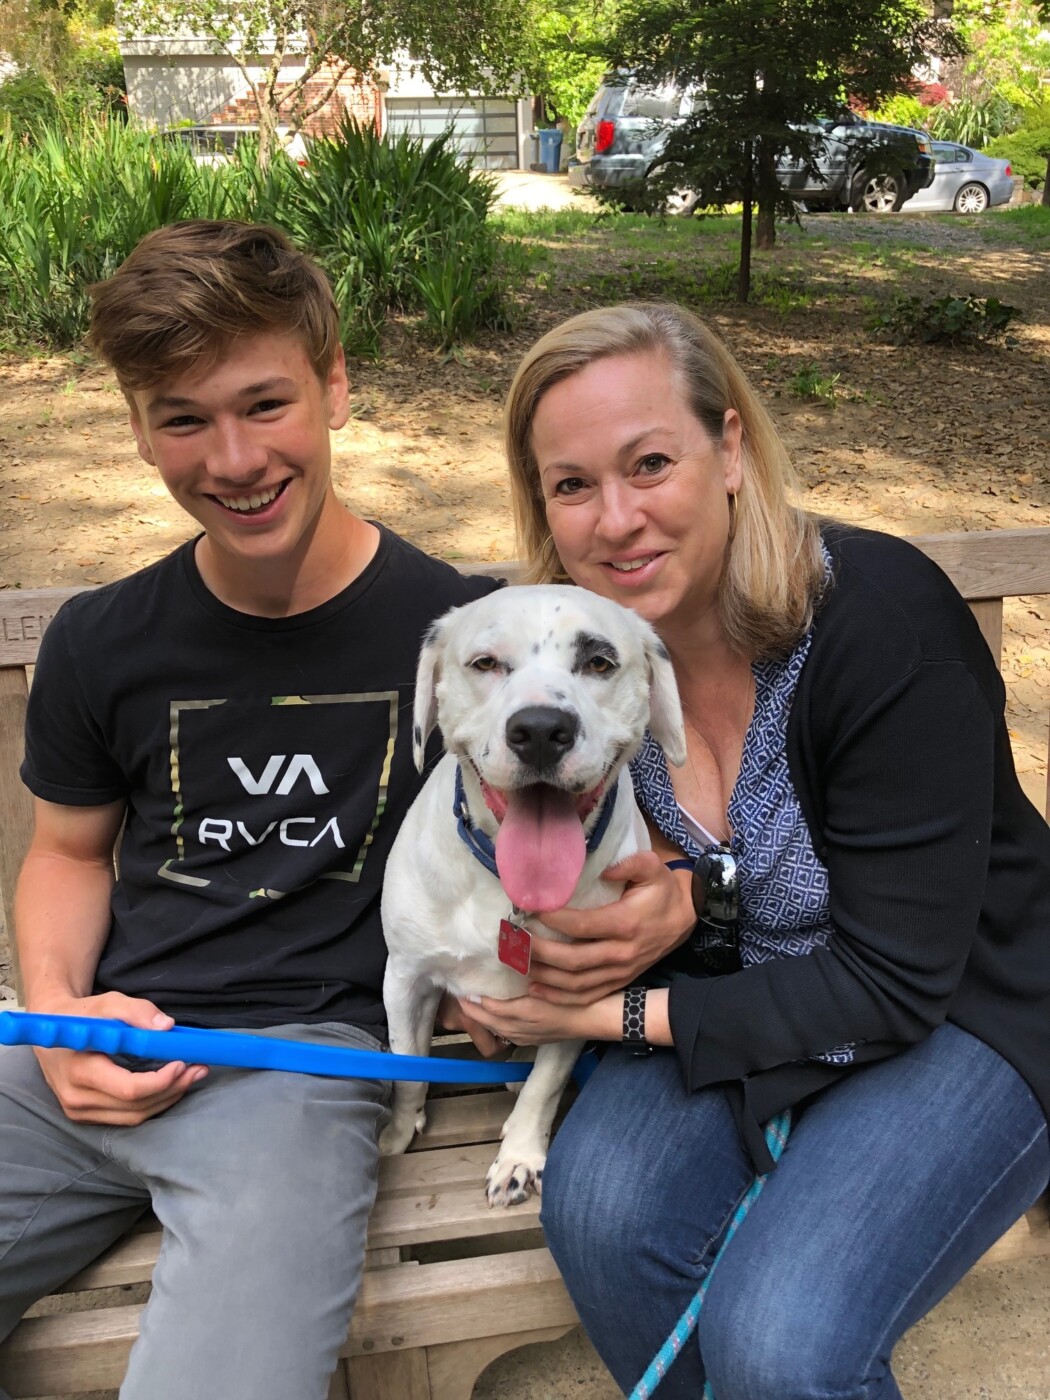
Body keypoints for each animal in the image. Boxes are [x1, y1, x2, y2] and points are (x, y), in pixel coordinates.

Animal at [379, 585, 686, 1206]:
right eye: (485, 663)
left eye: (600, 663)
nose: (542, 729)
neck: (507, 894)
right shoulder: (404, 978)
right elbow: (408, 1069)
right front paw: (398, 1133)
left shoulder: (578, 1001)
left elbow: (543, 1086)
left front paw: (519, 1158)